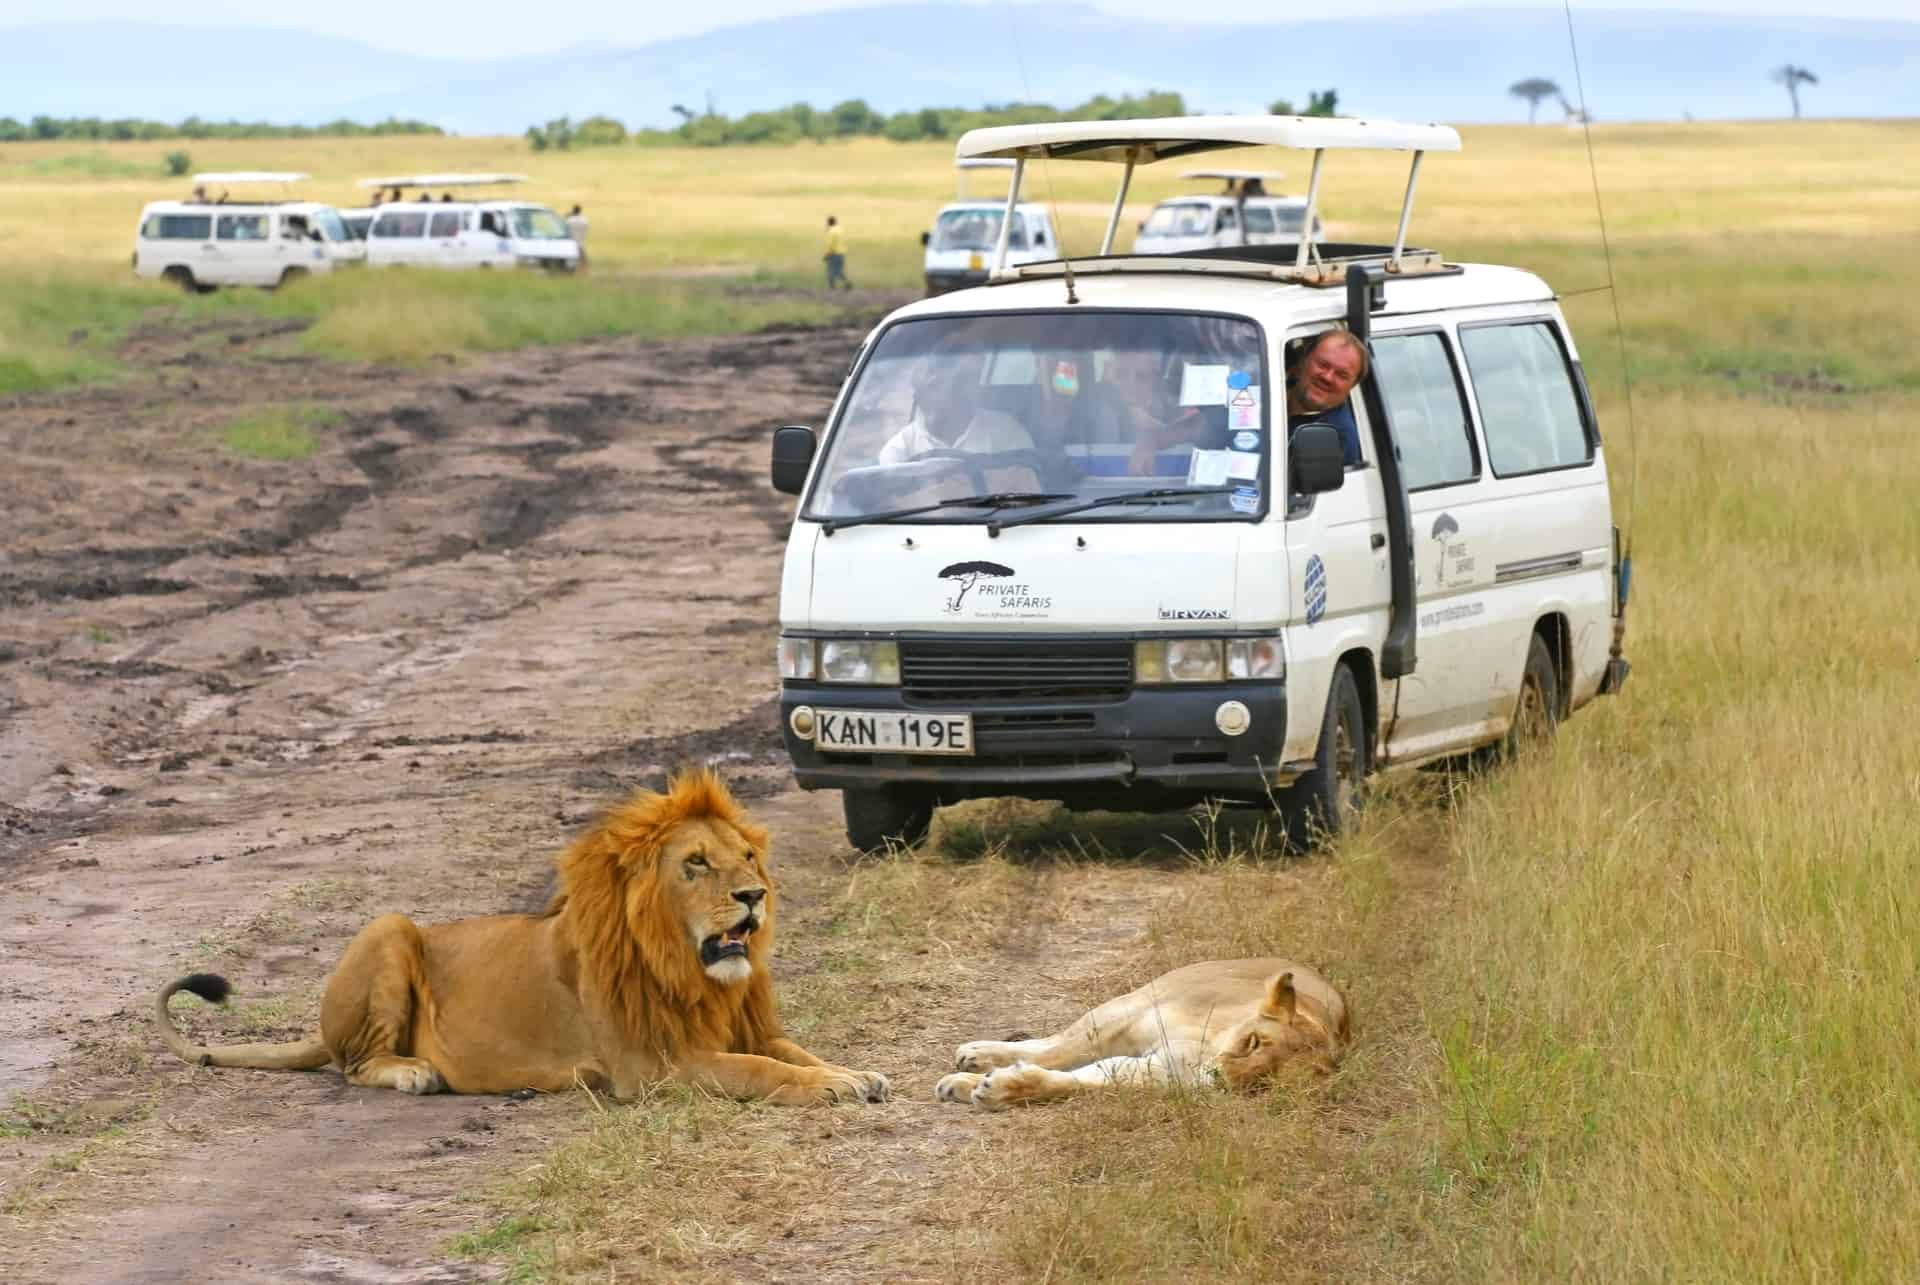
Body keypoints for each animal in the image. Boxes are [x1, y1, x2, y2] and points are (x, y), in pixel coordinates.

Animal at [157, 768, 890, 1106]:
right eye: (696, 863)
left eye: (748, 857)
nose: (754, 896)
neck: (688, 969)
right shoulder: (652, 1065)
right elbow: (759, 1070)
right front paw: (830, 1088)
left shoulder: (743, 1028)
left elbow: (796, 1052)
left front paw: (854, 1074)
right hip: (389, 927)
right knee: (354, 1064)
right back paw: (413, 1071)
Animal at [936, 956, 1344, 1106]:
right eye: (1253, 1041)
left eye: (1266, 1081)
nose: (1218, 1079)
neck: (1206, 1049)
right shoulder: (1131, 1022)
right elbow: (1057, 1056)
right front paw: (972, 1079)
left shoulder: (1155, 1072)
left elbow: (1074, 1081)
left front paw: (995, 1088)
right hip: (1130, 1001)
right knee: (1054, 1042)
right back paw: (977, 1054)